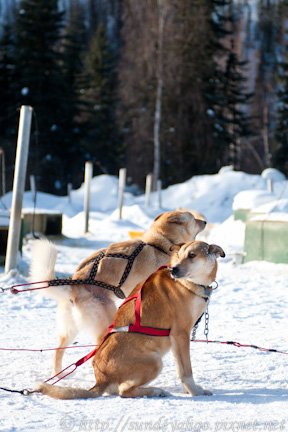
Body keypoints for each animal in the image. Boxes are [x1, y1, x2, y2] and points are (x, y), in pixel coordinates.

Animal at [30, 209, 206, 374]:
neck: (159, 244)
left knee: (58, 351)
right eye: (193, 218)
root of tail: (74, 285)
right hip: (106, 322)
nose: (204, 221)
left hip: (70, 330)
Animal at [35, 240, 225, 398]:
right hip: (155, 362)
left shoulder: (176, 341)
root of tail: (101, 379)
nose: (174, 270)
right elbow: (186, 371)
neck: (190, 284)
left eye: (192, 255)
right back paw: (154, 391)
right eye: (178, 256)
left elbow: (180, 366)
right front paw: (195, 391)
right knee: (124, 391)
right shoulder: (180, 334)